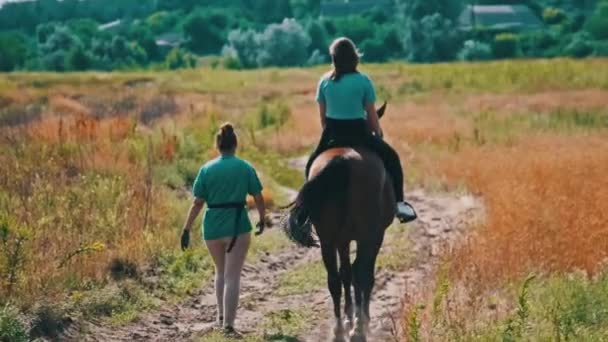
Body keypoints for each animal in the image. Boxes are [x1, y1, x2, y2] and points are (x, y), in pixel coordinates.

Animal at [286, 105, 400, 340]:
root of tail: (341, 161)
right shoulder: (374, 236)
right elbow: (364, 274)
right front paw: (360, 320)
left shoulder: (342, 239)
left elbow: (345, 273)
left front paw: (348, 318)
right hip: (367, 234)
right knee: (361, 274)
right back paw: (358, 329)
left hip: (327, 238)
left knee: (334, 279)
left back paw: (338, 330)